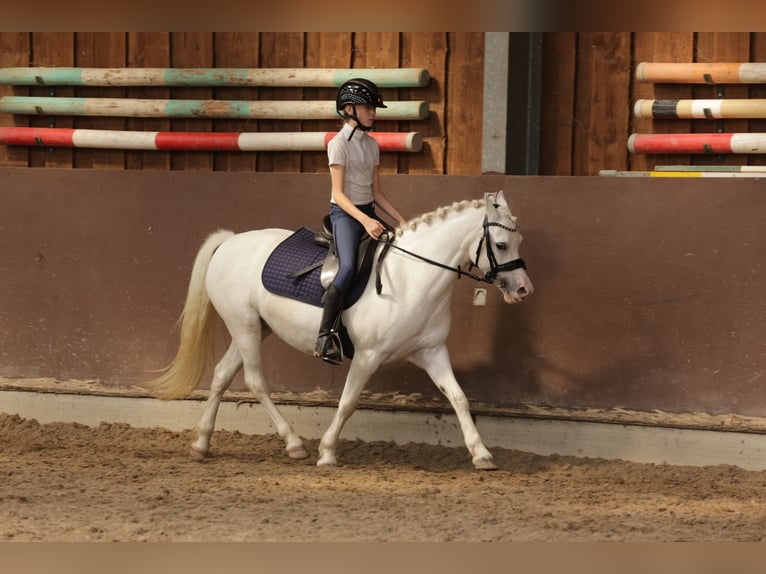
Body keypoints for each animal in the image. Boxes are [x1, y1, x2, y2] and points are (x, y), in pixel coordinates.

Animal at [148, 191, 536, 470]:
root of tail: (229, 241)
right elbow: (348, 402)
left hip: (255, 328)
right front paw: (327, 452)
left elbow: (459, 398)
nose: (523, 290)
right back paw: (294, 445)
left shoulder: (432, 352)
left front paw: (481, 454)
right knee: (255, 382)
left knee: (221, 375)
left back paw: (201, 445)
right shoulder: (368, 356)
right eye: (501, 244)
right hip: (243, 327)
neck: (412, 277)